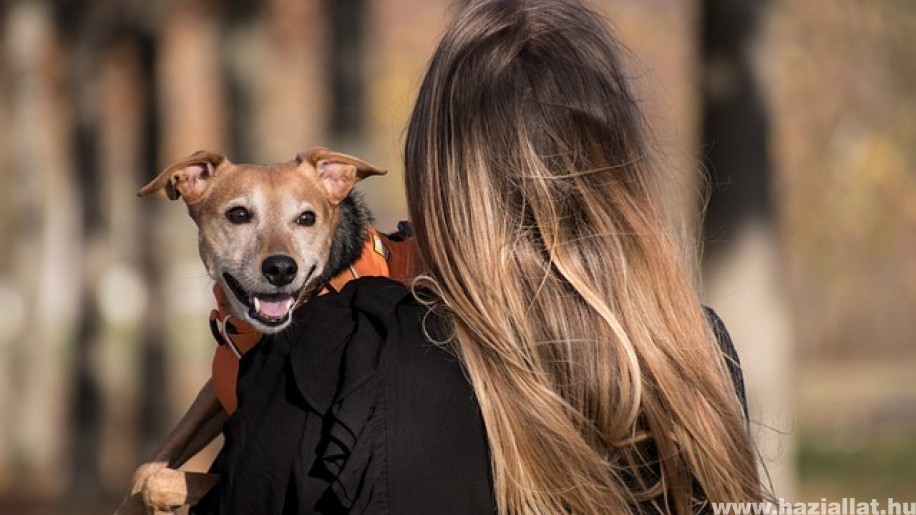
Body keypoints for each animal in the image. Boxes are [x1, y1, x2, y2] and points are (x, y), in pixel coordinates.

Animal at [115, 148, 386, 515]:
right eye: (239, 214)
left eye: (306, 218)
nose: (281, 269)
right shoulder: (215, 390)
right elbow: (146, 470)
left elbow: (158, 482)